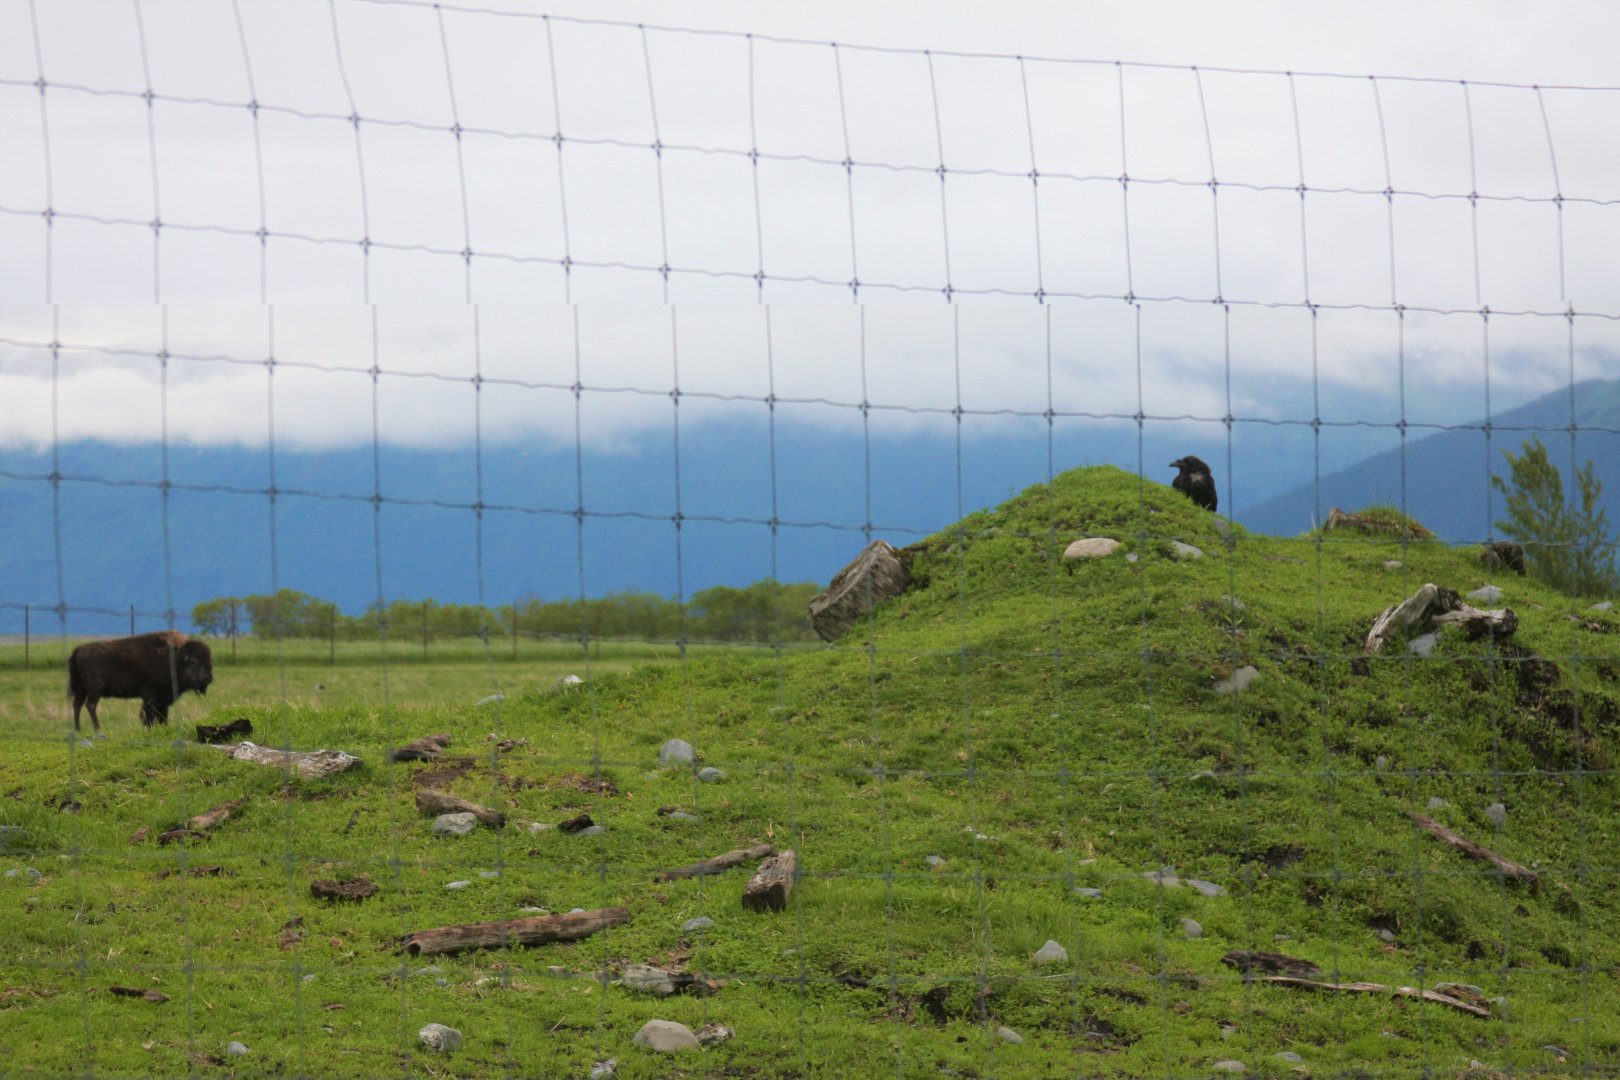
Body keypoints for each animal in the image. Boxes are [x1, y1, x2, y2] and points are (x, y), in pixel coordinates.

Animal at [68, 630, 213, 734]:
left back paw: (78, 729)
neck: (175, 659)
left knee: (77, 705)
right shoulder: (151, 695)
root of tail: (78, 650)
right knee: (90, 705)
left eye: (209, 660)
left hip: (81, 689)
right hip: (95, 689)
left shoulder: (162, 698)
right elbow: (150, 713)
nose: (208, 678)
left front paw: (163, 727)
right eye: (194, 661)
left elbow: (162, 715)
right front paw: (152, 727)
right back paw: (98, 728)